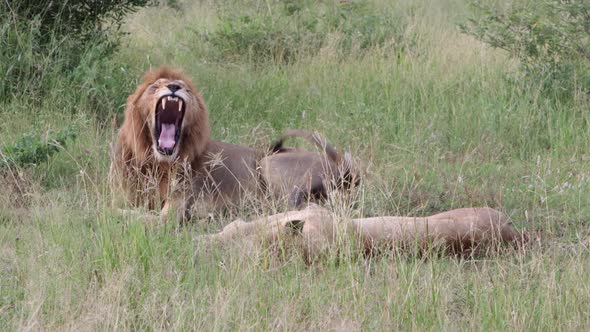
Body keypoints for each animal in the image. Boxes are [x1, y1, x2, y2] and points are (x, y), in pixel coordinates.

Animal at [111, 66, 360, 222]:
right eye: (155, 87)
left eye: (186, 88)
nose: (174, 86)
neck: (157, 163)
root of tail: (344, 167)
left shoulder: (174, 210)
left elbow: (137, 216)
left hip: (269, 164)